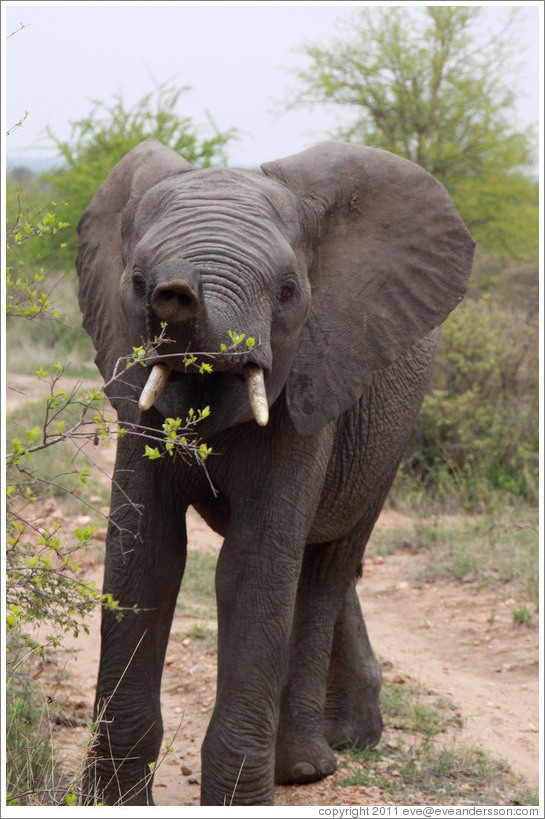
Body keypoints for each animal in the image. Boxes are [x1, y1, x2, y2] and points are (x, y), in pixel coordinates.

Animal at [76, 139, 474, 806]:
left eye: (288, 291)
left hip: (389, 430)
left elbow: (254, 564)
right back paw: (352, 736)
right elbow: (144, 555)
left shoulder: (311, 379)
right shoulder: (136, 397)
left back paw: (310, 764)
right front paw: (108, 803)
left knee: (325, 568)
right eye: (136, 282)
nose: (175, 291)